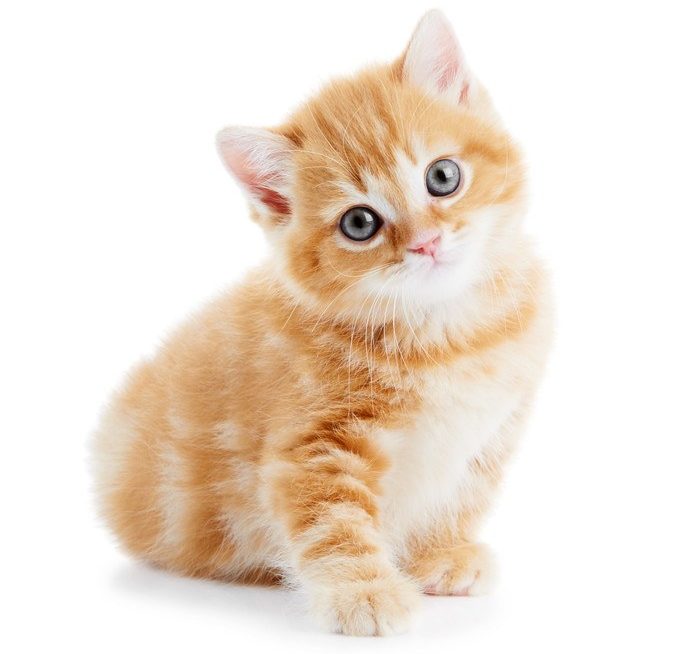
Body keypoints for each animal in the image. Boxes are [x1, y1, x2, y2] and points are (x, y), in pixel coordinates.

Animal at [93, 9, 556, 636]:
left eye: (443, 177)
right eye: (359, 223)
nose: (427, 243)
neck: (447, 334)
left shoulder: (495, 427)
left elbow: (464, 491)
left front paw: (442, 551)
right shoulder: (314, 444)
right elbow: (334, 521)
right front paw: (364, 592)